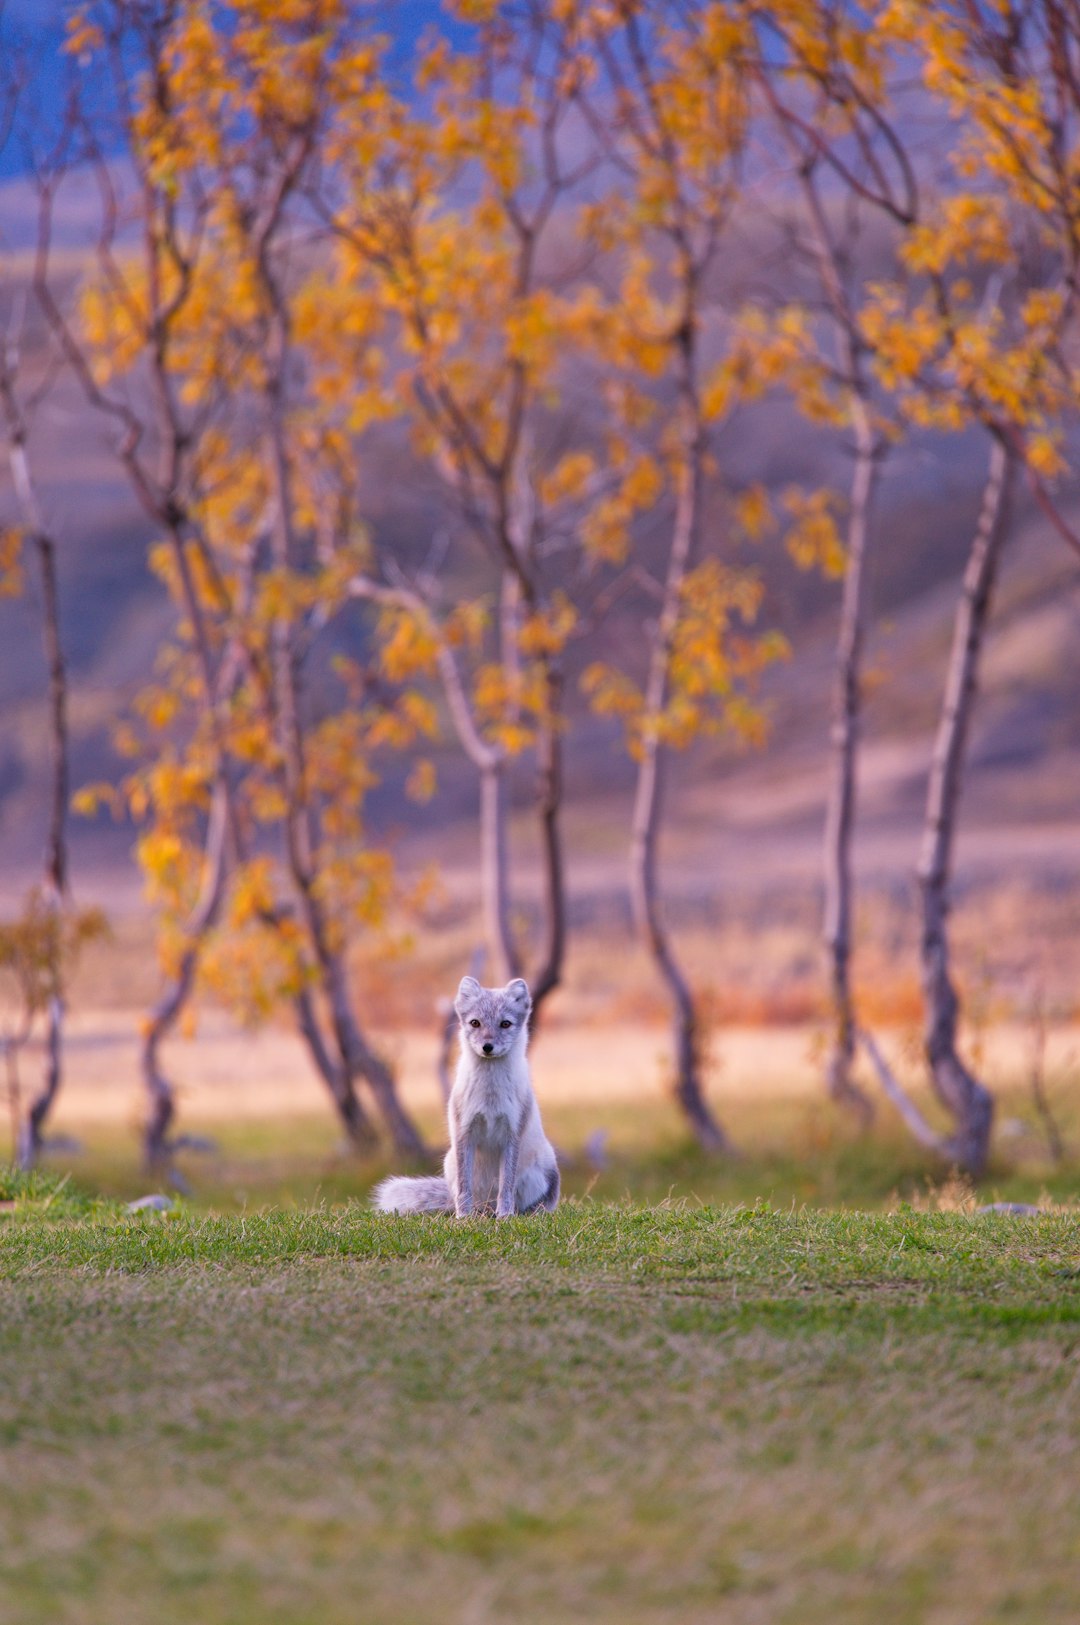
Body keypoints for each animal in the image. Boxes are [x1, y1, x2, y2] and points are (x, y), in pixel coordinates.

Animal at [373, 975, 558, 1222]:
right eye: (475, 1023)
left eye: (505, 1024)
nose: (487, 1046)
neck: (490, 1095)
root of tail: (487, 1203)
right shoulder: (464, 1132)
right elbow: (464, 1187)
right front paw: (463, 1218)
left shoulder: (512, 1134)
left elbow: (506, 1187)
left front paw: (505, 1216)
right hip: (450, 1162)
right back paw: (478, 1214)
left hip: (544, 1169)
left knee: (532, 1202)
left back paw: (523, 1213)